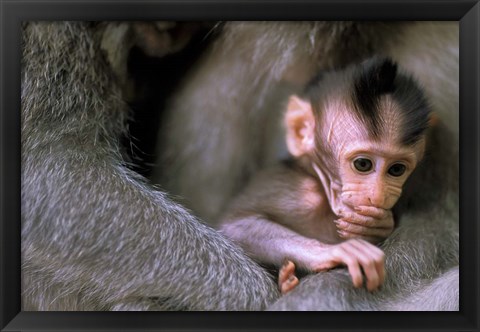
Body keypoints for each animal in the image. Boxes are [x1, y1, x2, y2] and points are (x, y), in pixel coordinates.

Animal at [219, 56, 434, 294]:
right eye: (363, 164)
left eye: (396, 169)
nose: (377, 196)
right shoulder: (296, 191)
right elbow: (235, 226)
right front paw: (332, 252)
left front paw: (379, 224)